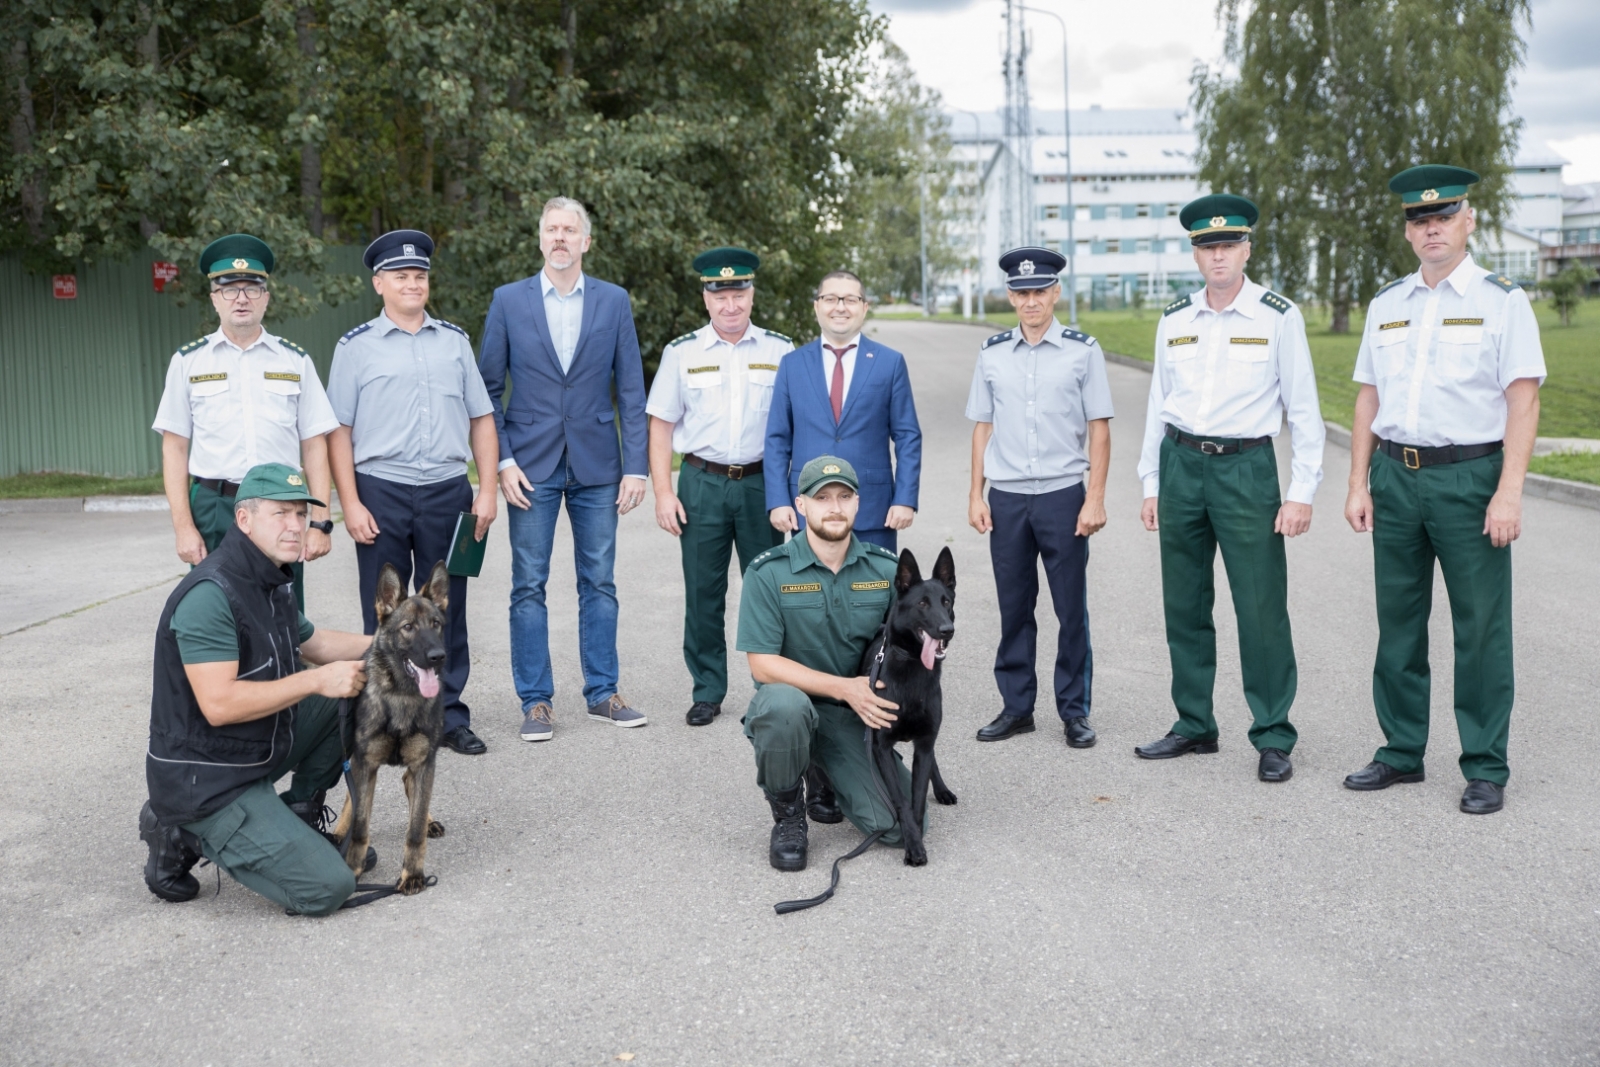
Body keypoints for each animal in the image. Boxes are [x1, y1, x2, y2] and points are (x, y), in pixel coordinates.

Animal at [864, 543, 960, 870]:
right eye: (922, 604)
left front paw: (915, 840)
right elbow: (902, 803)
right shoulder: (880, 747)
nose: (947, 629)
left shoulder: (925, 742)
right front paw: (913, 846)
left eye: (947, 601)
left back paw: (941, 789)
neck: (913, 669)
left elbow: (917, 800)